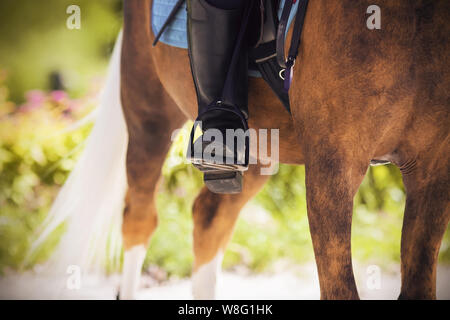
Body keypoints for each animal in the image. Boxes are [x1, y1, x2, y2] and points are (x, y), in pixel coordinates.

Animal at [118, 0, 448, 300]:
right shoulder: (334, 167)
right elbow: (339, 288)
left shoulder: (432, 174)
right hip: (148, 110)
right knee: (140, 219)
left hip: (260, 149)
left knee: (210, 219)